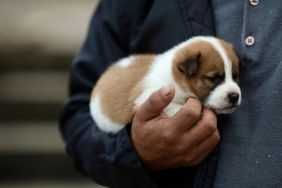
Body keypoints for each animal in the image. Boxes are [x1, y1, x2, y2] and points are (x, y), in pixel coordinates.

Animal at [90, 36, 240, 133]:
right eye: (213, 78)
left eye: (235, 76)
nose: (234, 96)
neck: (176, 80)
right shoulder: (145, 98)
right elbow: (172, 106)